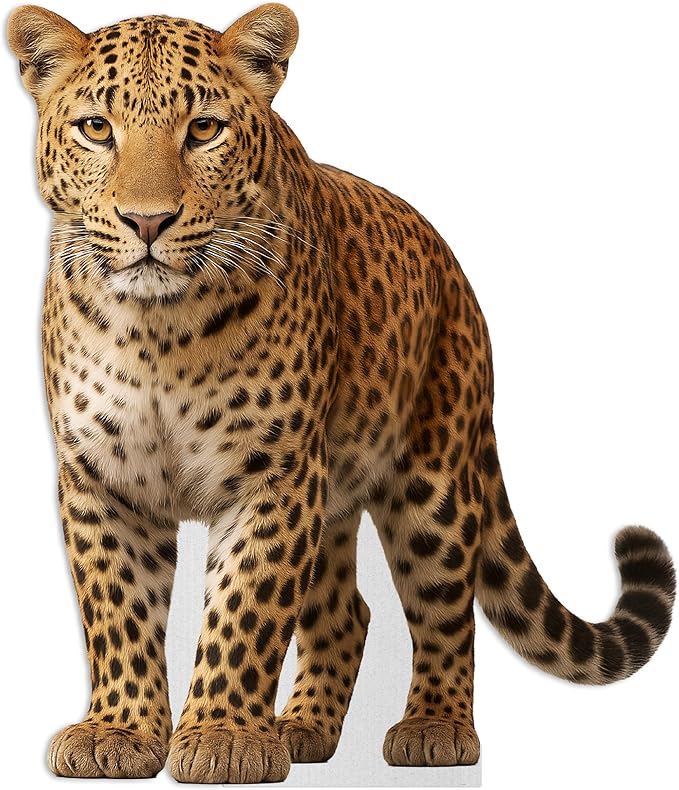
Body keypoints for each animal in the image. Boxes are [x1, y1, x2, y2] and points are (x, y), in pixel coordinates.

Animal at [7, 3, 675, 784]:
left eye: (202, 129)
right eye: (96, 128)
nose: (147, 221)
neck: (157, 330)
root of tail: (456, 273)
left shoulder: (273, 475)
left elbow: (244, 609)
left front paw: (222, 737)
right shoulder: (101, 476)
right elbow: (117, 610)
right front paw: (118, 730)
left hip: (433, 482)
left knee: (447, 609)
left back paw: (434, 727)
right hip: (331, 498)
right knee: (346, 611)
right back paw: (301, 726)